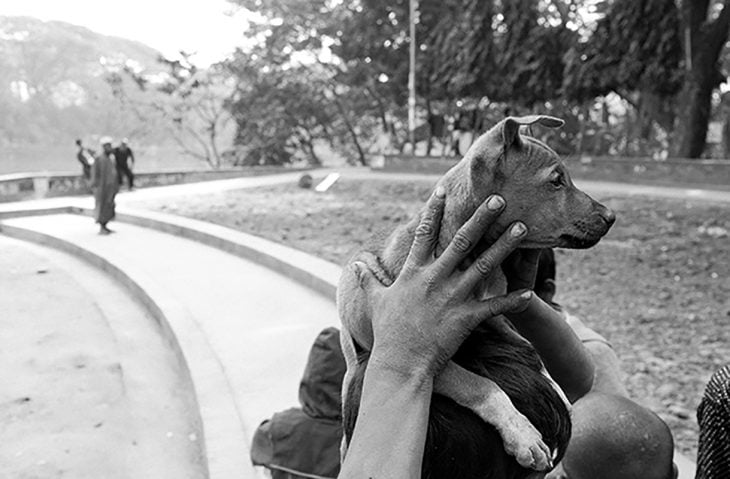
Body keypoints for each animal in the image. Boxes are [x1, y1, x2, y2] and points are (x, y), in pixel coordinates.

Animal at [336, 117, 616, 472]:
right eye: (556, 181)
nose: (611, 217)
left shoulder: (493, 311)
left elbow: (528, 349)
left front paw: (556, 388)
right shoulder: (413, 353)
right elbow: (480, 384)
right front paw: (522, 435)